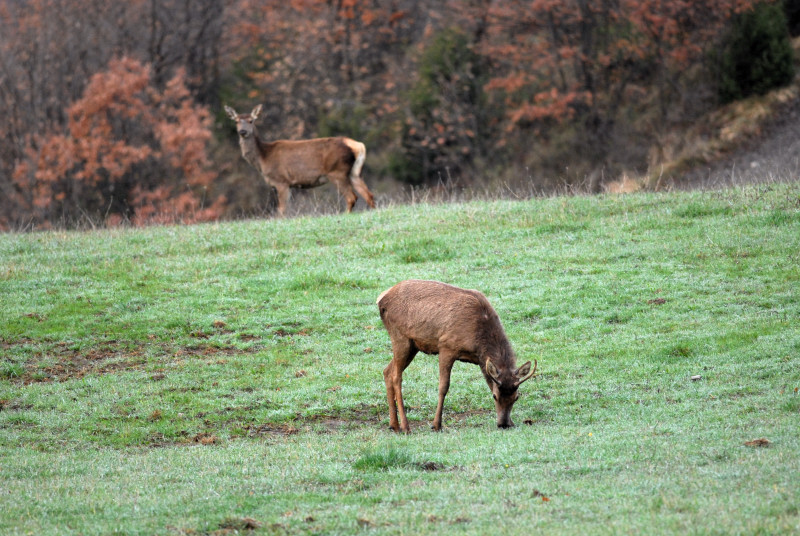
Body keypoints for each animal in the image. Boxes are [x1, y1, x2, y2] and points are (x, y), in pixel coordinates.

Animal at [223, 103, 376, 215]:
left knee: (352, 197)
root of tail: (358, 145)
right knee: (369, 195)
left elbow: (282, 210)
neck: (263, 157)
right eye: (236, 121)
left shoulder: (281, 181)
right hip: (354, 172)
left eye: (251, 120)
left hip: (337, 171)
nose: (242, 131)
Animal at [376, 278, 536, 434]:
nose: (503, 424)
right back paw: (405, 426)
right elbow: (443, 387)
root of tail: (381, 299)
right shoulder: (446, 346)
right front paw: (436, 425)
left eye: (516, 397)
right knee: (396, 376)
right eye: (495, 396)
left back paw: (393, 425)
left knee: (387, 371)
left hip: (413, 345)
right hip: (400, 337)